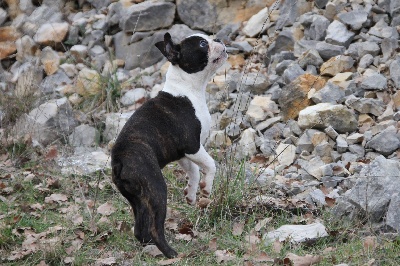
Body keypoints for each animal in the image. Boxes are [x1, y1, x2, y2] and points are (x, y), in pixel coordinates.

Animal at [111, 31, 227, 258]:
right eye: (203, 44)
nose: (218, 39)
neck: (188, 87)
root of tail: (119, 161)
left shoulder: (183, 154)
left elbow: (194, 171)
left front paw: (191, 194)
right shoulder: (192, 145)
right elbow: (210, 165)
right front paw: (206, 189)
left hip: (137, 199)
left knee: (140, 227)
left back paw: (151, 246)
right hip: (156, 190)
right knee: (155, 227)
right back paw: (171, 253)